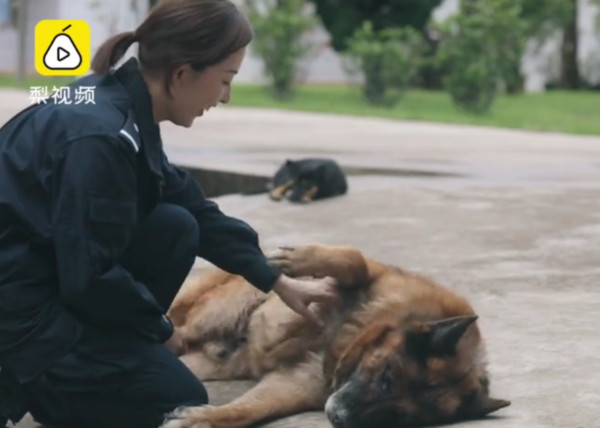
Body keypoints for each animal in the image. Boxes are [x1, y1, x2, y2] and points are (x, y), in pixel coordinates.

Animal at [158, 244, 506, 428]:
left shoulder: (296, 383)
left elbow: (250, 410)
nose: (337, 416)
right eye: (387, 378)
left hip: (211, 363)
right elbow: (356, 261)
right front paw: (299, 259)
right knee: (177, 324)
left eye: (397, 416)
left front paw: (200, 418)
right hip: (215, 311)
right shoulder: (369, 277)